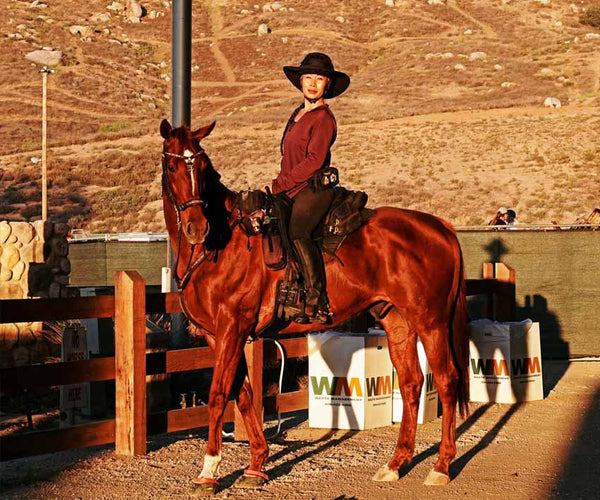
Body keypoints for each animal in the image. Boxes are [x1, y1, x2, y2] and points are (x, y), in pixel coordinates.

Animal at [159, 119, 468, 494]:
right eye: (172, 167)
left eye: (203, 167)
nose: (196, 227)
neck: (222, 242)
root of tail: (440, 227)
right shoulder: (217, 335)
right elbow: (243, 394)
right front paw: (257, 465)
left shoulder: (232, 326)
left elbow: (219, 395)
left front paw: (208, 472)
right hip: (398, 322)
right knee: (411, 383)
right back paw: (396, 463)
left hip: (431, 322)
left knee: (448, 380)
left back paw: (441, 466)